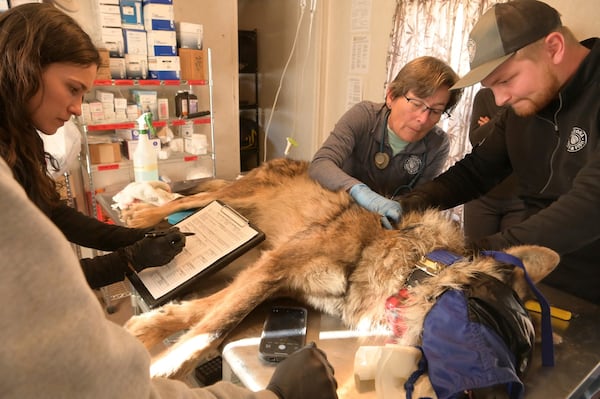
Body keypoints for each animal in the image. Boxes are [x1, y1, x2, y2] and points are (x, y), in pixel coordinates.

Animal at [119, 159, 560, 388]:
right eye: (497, 326)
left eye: (521, 360)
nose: (503, 390)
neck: (410, 267)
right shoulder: (276, 266)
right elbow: (211, 329)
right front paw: (158, 369)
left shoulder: (274, 278)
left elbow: (208, 311)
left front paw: (151, 326)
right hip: (238, 199)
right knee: (190, 199)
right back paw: (142, 213)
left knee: (197, 197)